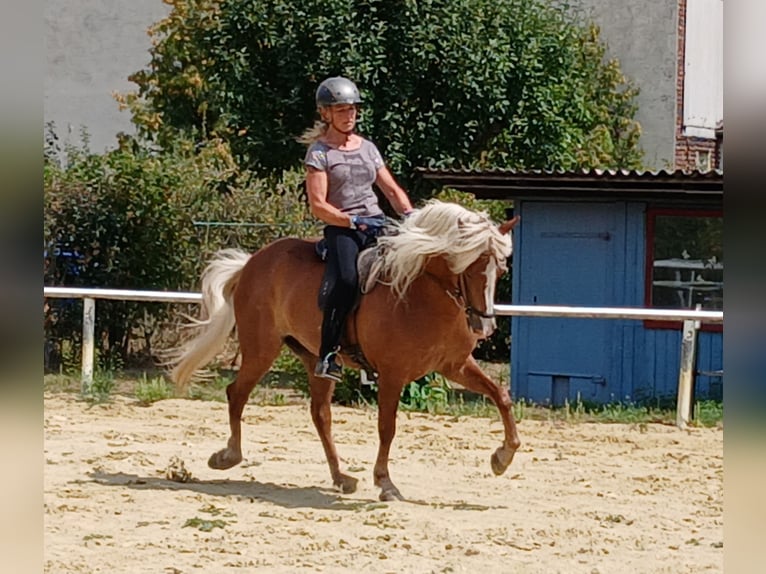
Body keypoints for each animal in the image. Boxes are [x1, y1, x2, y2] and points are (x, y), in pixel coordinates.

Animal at [167, 199, 521, 501]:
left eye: (501, 270)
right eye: (469, 266)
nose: (484, 326)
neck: (420, 290)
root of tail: (252, 262)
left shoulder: (455, 365)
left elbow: (501, 395)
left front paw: (502, 457)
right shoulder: (392, 375)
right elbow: (387, 427)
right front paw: (386, 483)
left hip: (314, 359)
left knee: (320, 414)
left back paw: (341, 477)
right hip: (261, 350)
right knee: (236, 394)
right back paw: (228, 456)